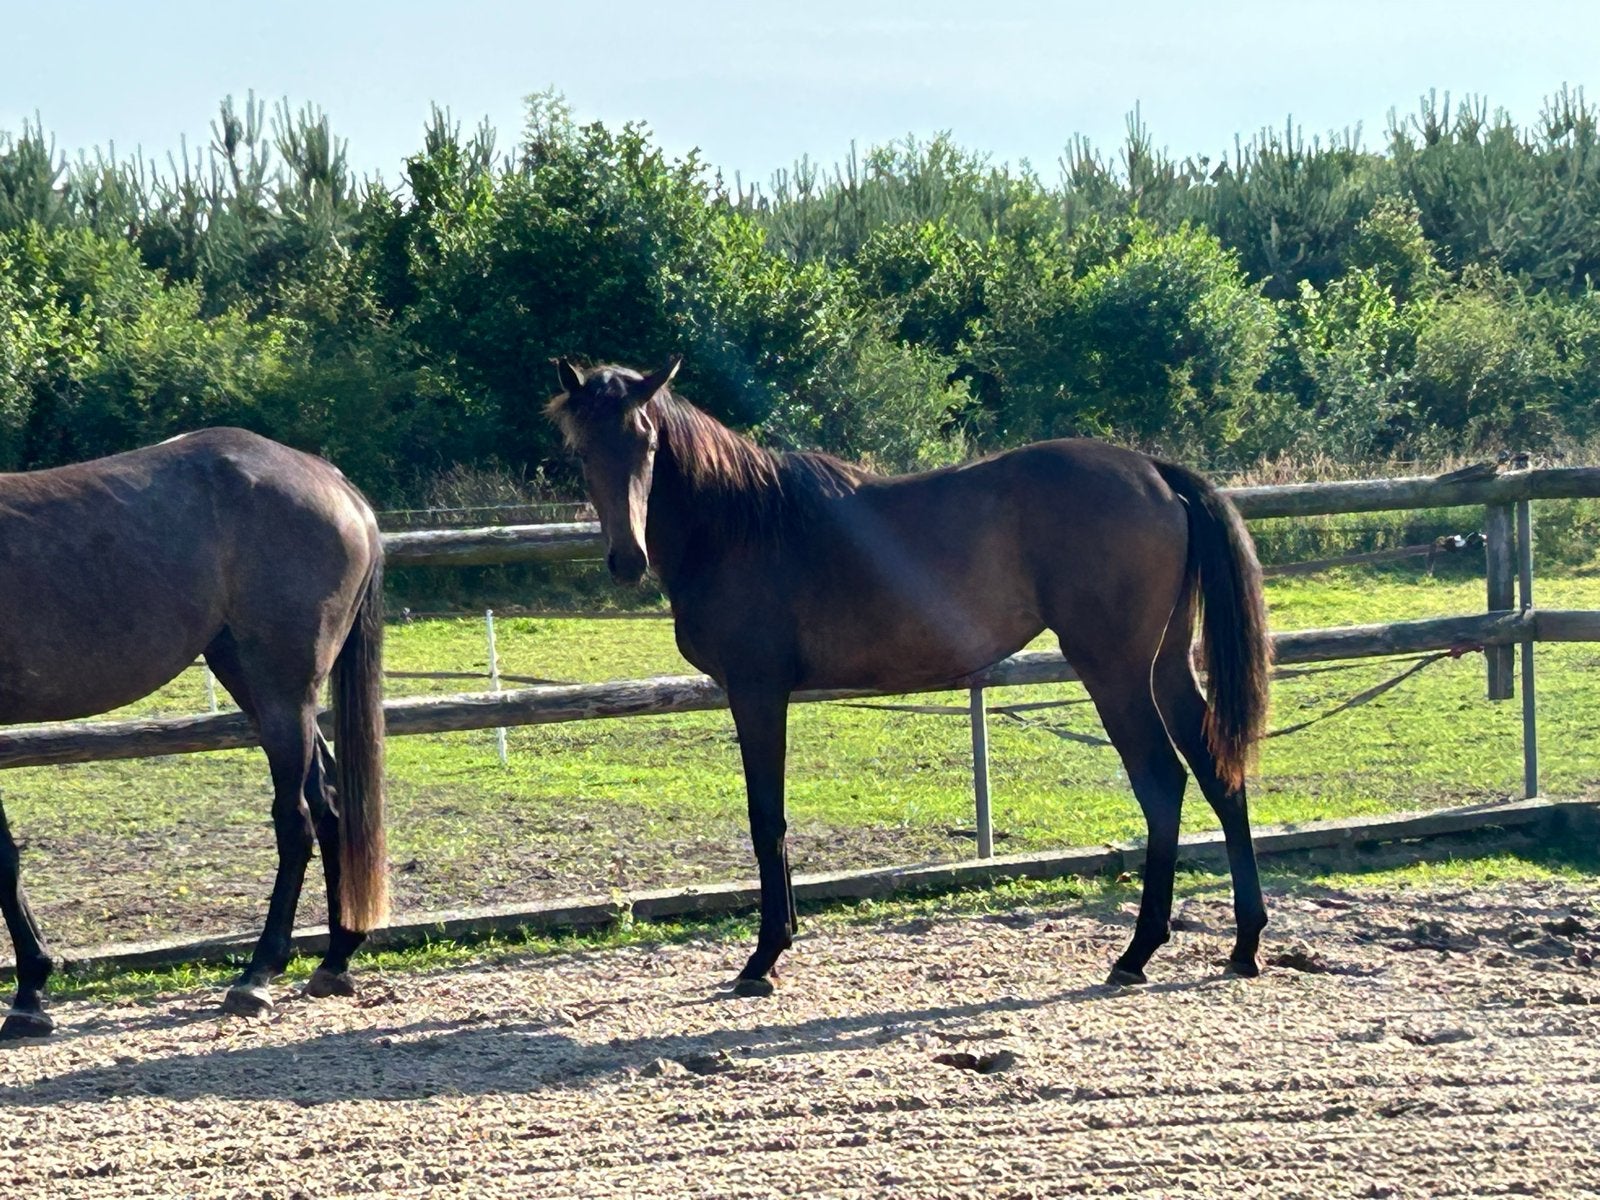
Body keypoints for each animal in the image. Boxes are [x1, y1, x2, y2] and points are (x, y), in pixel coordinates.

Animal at [0, 428, 388, 1040]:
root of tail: (331, 479)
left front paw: (29, 993)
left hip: (282, 689)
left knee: (297, 820)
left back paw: (256, 976)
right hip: (252, 680)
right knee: (329, 805)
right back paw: (335, 959)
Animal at [549, 356, 1273, 997]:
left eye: (647, 441)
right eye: (583, 450)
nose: (626, 559)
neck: (740, 524)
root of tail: (1153, 470)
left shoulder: (757, 692)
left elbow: (766, 818)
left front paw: (765, 956)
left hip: (1116, 670)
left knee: (1163, 782)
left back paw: (1138, 951)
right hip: (1167, 664)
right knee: (1218, 772)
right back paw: (1244, 944)